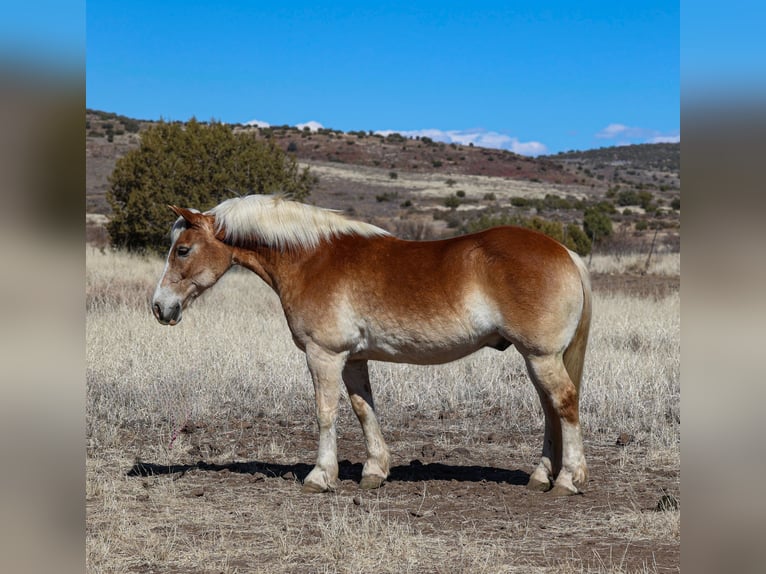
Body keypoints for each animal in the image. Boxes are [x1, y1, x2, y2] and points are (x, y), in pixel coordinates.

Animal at [152, 196, 592, 498]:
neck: (312, 259)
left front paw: (320, 476)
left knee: (565, 403)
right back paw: (541, 476)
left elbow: (325, 413)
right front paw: (375, 471)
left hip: (540, 357)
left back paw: (568, 479)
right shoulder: (353, 359)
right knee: (550, 410)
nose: (159, 307)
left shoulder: (324, 355)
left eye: (183, 250)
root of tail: (565, 252)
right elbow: (364, 410)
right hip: (536, 359)